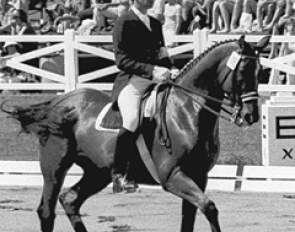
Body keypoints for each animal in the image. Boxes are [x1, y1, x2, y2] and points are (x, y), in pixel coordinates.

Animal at [1, 35, 270, 232]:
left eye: (260, 72)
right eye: (243, 71)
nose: (251, 116)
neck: (187, 110)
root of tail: (60, 101)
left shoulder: (198, 176)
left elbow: (191, 217)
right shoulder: (172, 176)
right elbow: (210, 207)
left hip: (97, 172)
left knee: (70, 200)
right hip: (55, 165)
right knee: (47, 210)